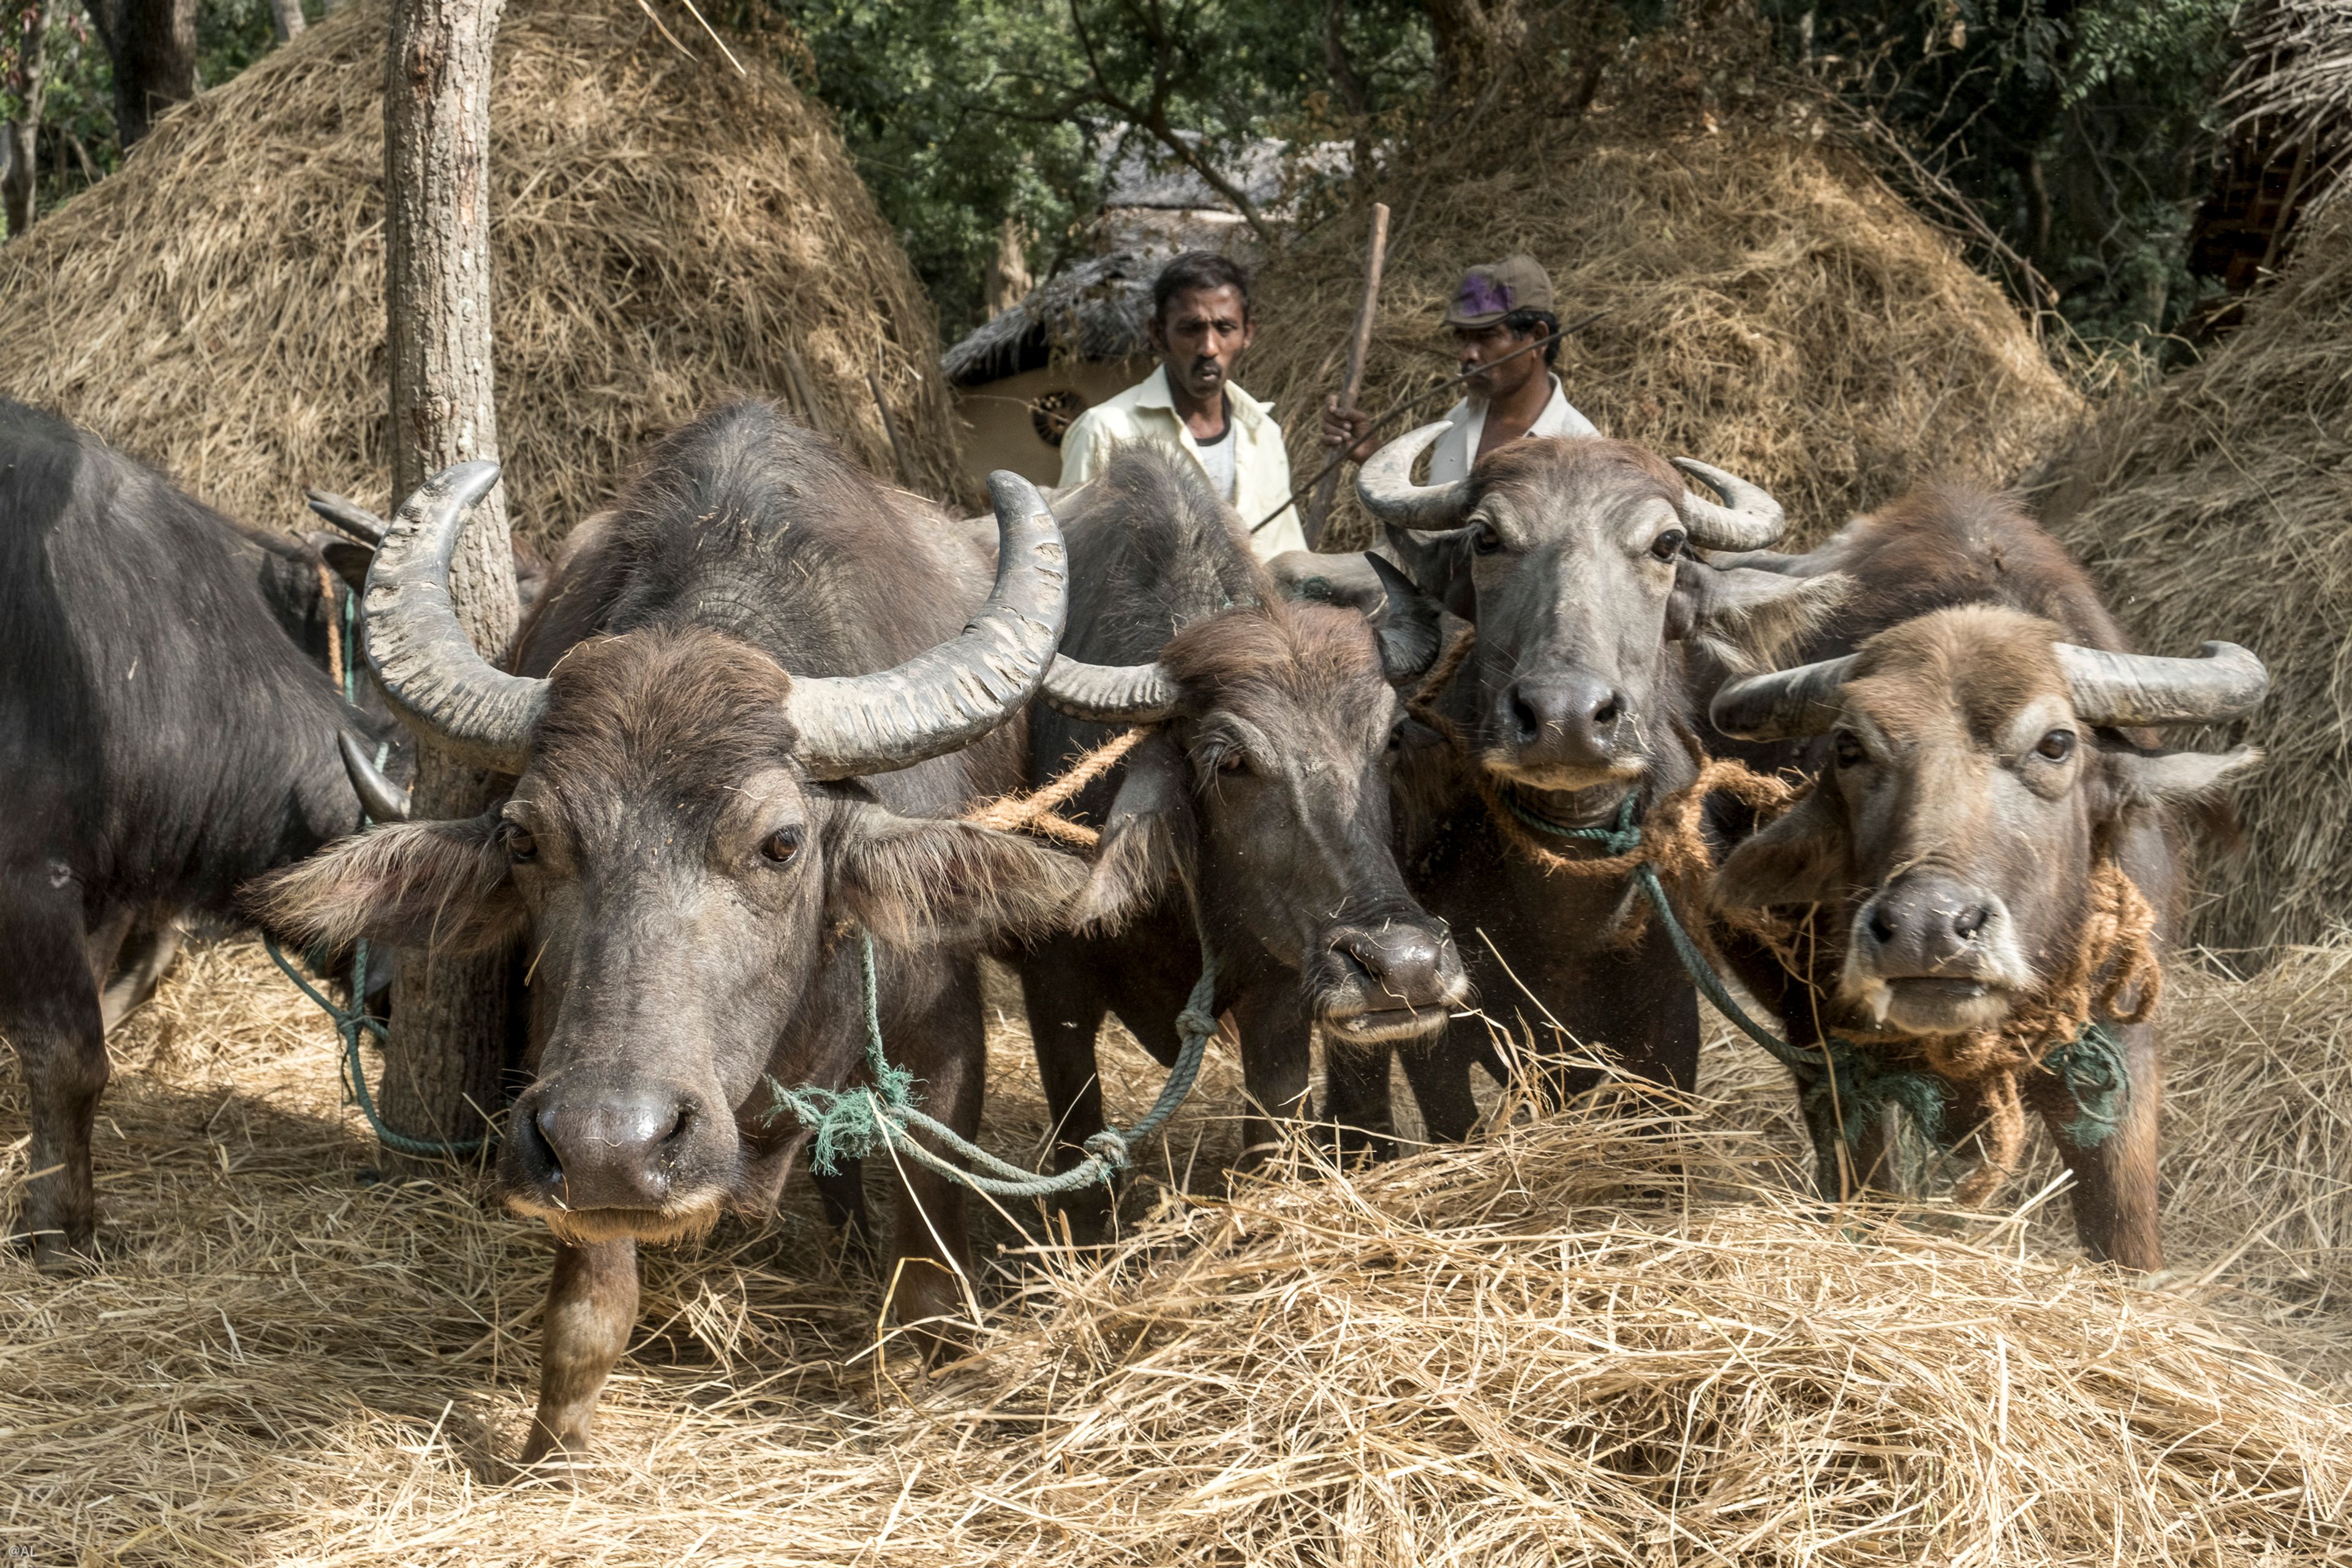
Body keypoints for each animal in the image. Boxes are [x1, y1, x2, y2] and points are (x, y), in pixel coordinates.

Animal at [256, 401, 1085, 1466]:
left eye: (781, 842)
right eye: (524, 838)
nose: (615, 1142)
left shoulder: (941, 1037)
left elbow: (930, 1269)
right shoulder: (569, 1096)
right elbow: (587, 1301)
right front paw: (554, 1441)